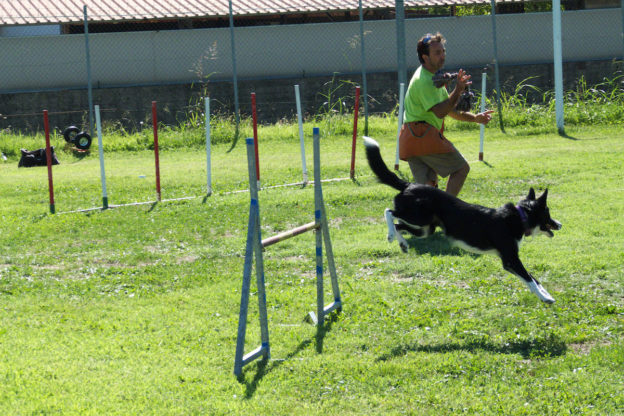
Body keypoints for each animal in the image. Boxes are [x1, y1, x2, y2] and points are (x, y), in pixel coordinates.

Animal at [364, 136, 564, 302]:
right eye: (548, 213)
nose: (560, 225)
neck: (519, 217)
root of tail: (409, 185)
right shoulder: (510, 259)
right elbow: (529, 278)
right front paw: (544, 298)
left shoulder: (509, 261)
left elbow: (534, 278)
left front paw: (547, 294)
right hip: (419, 216)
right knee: (390, 212)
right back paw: (391, 235)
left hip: (425, 228)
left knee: (399, 225)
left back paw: (402, 243)